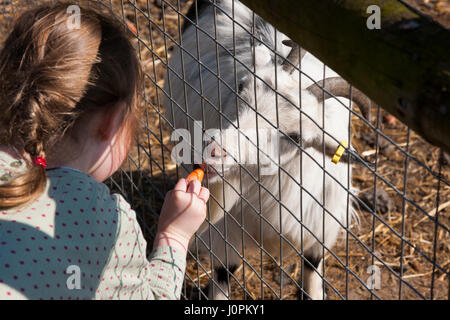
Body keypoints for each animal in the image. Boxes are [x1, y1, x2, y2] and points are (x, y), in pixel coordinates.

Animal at [163, 0, 370, 300]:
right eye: (242, 91)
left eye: (296, 137)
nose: (213, 153)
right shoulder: (225, 230)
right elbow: (224, 273)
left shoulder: (319, 227)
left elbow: (312, 270)